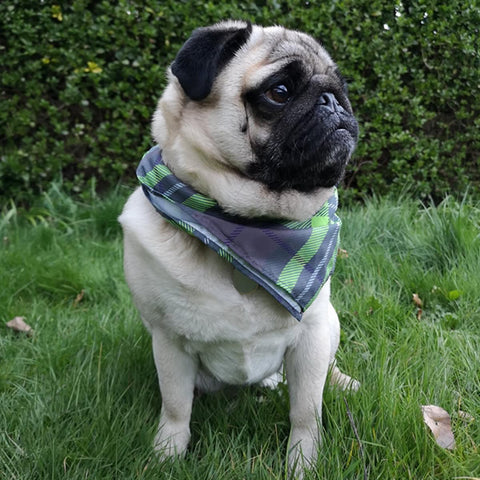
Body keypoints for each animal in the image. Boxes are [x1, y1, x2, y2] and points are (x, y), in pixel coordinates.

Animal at [119, 19, 358, 476]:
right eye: (279, 91)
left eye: (342, 88)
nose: (332, 100)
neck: (250, 226)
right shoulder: (169, 342)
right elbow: (175, 406)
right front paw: (167, 453)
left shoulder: (313, 334)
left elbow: (307, 411)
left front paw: (303, 462)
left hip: (330, 327)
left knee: (329, 369)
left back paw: (345, 383)